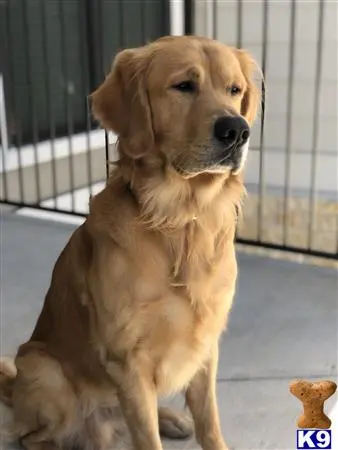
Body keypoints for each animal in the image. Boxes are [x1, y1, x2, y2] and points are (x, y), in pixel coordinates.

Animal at [0, 36, 260, 450]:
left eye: (234, 90)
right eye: (183, 86)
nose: (237, 130)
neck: (180, 220)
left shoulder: (205, 345)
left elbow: (209, 425)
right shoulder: (128, 360)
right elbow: (147, 438)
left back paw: (169, 418)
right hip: (46, 371)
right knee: (34, 438)